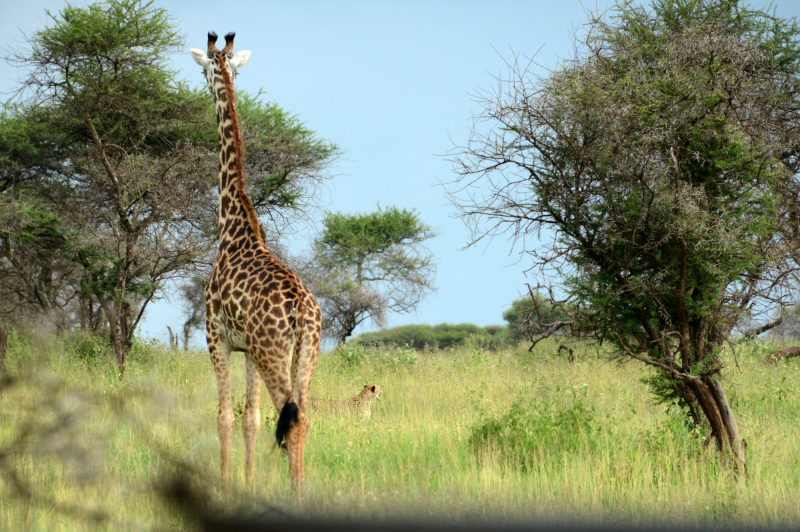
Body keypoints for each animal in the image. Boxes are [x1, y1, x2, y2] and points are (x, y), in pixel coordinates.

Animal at [191, 32, 322, 490]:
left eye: (204, 67)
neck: (232, 226)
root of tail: (302, 311)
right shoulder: (246, 348)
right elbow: (251, 420)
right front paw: (246, 485)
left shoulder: (216, 337)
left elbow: (224, 419)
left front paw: (226, 483)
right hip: (305, 358)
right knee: (304, 418)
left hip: (274, 356)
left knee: (293, 421)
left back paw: (296, 495)